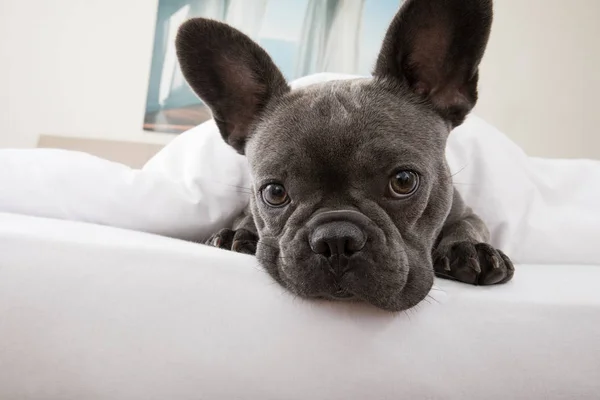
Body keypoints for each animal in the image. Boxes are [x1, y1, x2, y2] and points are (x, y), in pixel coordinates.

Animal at [176, 0, 512, 310]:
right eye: (274, 192)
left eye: (404, 181)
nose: (335, 239)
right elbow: (245, 216)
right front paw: (238, 232)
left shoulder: (466, 211)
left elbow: (469, 224)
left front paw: (471, 249)